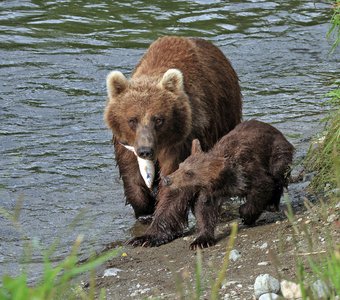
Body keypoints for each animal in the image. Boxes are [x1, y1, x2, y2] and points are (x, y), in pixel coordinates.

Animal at [103, 35, 242, 246]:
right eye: (132, 120)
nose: (145, 151)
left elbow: (177, 179)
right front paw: (145, 210)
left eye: (158, 119)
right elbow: (131, 175)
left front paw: (150, 235)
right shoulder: (126, 145)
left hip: (226, 117)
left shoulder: (184, 139)